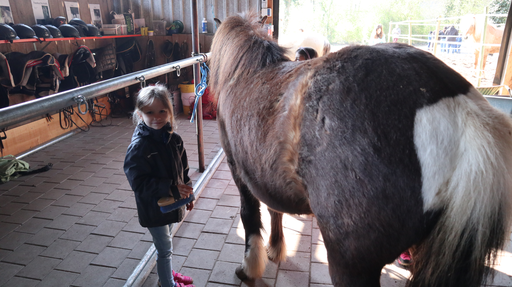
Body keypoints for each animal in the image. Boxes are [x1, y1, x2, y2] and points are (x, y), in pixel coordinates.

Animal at [209, 11, 512, 287]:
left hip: (350, 263)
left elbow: (250, 215)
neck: (248, 73)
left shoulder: (239, 170)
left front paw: (250, 267)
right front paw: (275, 248)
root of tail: (462, 109)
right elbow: (275, 210)